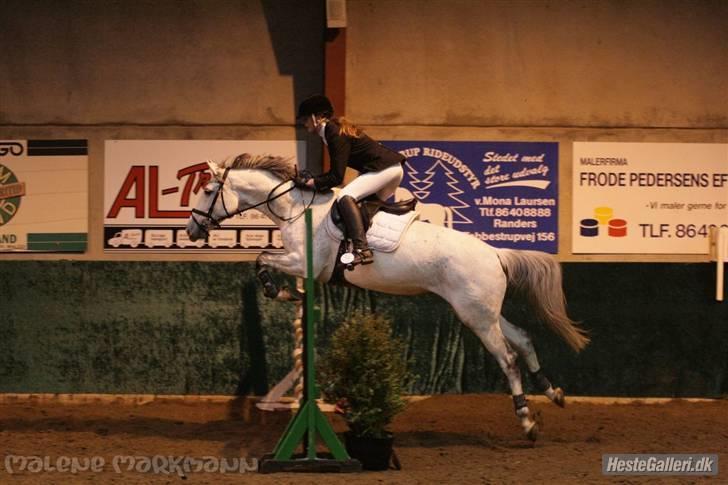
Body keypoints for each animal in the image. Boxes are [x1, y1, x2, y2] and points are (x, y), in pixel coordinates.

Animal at [185, 154, 588, 438]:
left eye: (206, 191)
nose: (191, 230)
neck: (296, 209)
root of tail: (495, 253)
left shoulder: (302, 263)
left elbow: (261, 258)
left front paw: (277, 290)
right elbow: (262, 258)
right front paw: (284, 292)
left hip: (476, 316)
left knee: (508, 358)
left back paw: (527, 421)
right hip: (484, 311)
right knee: (523, 339)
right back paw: (554, 394)